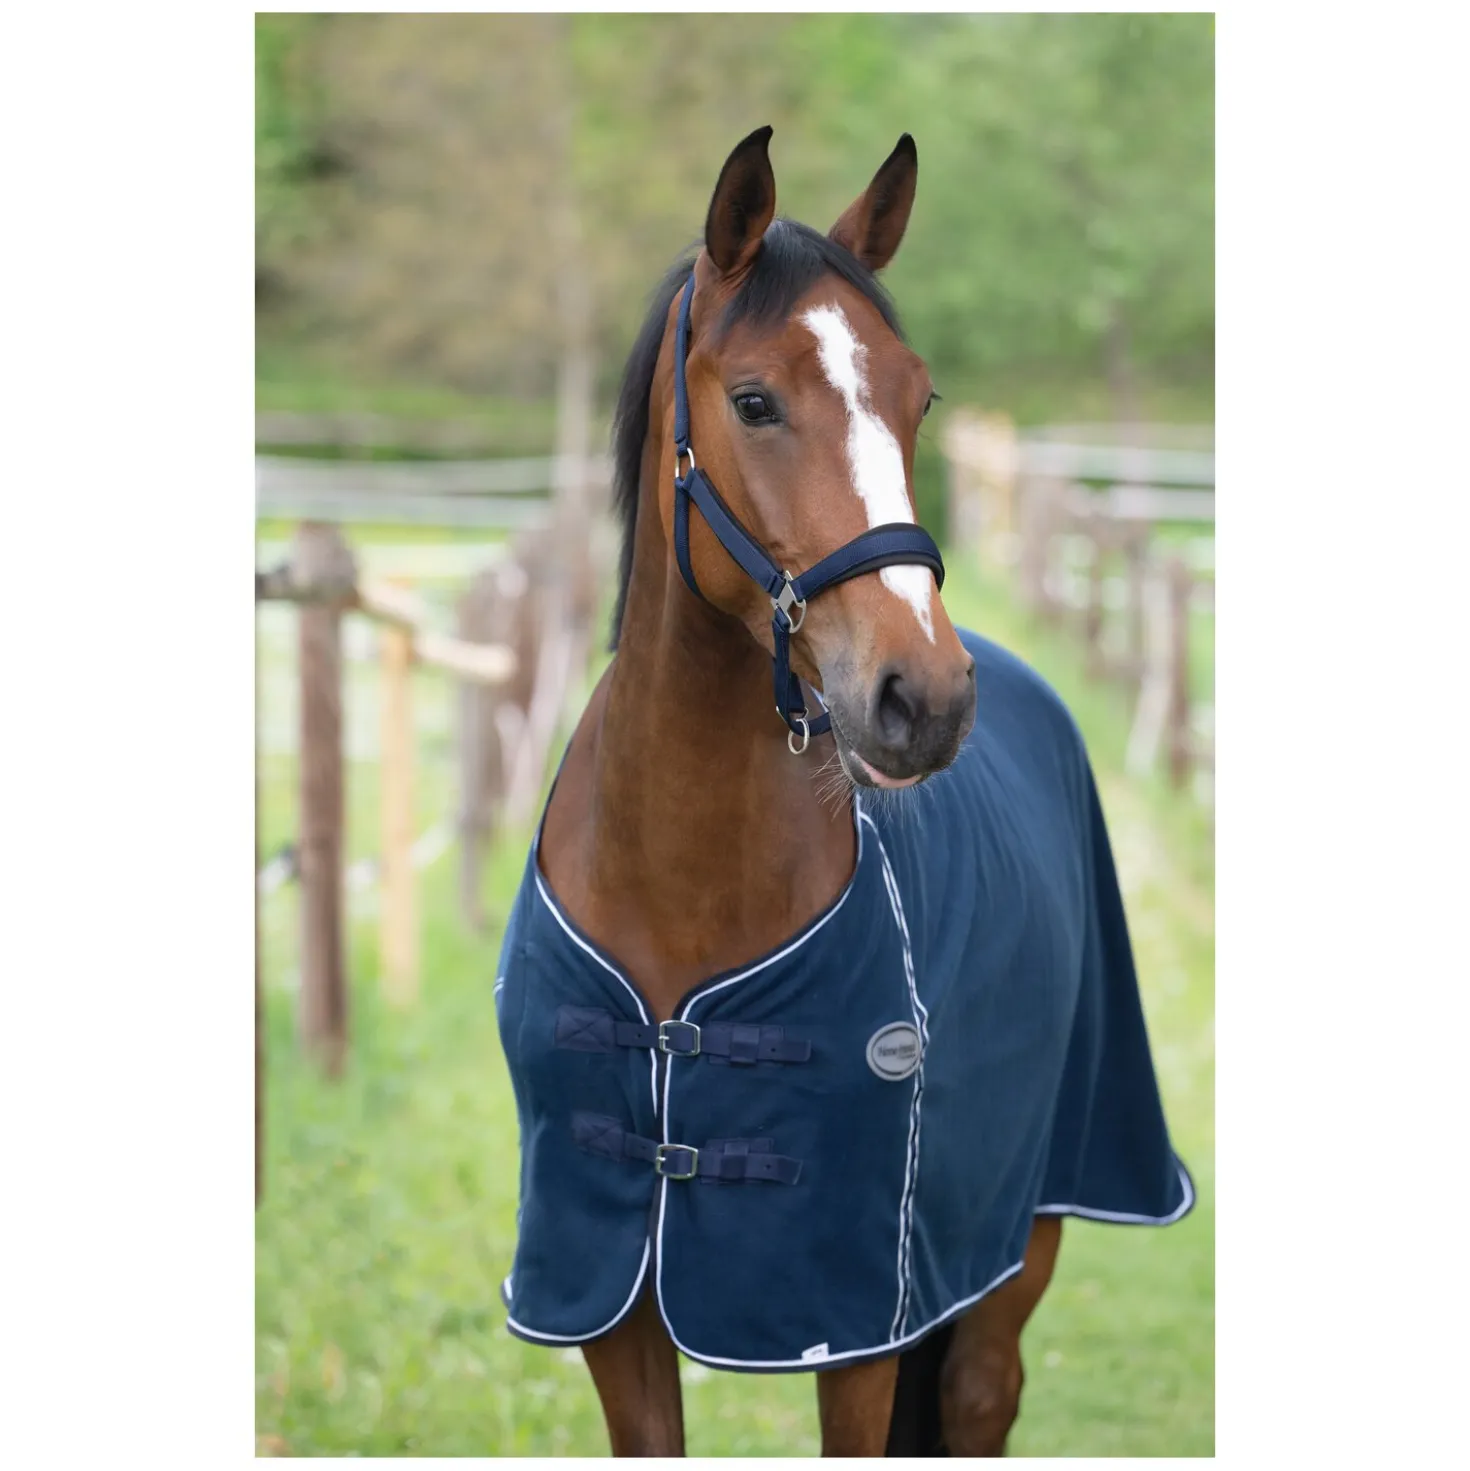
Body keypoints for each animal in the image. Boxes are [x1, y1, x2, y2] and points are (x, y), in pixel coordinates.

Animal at [493, 126, 1193, 1456]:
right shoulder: (608, 1303)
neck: (677, 882)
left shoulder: (855, 1317)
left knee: (980, 1396)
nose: (924, 693)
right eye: (755, 400)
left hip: (1022, 1231)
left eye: (920, 399)